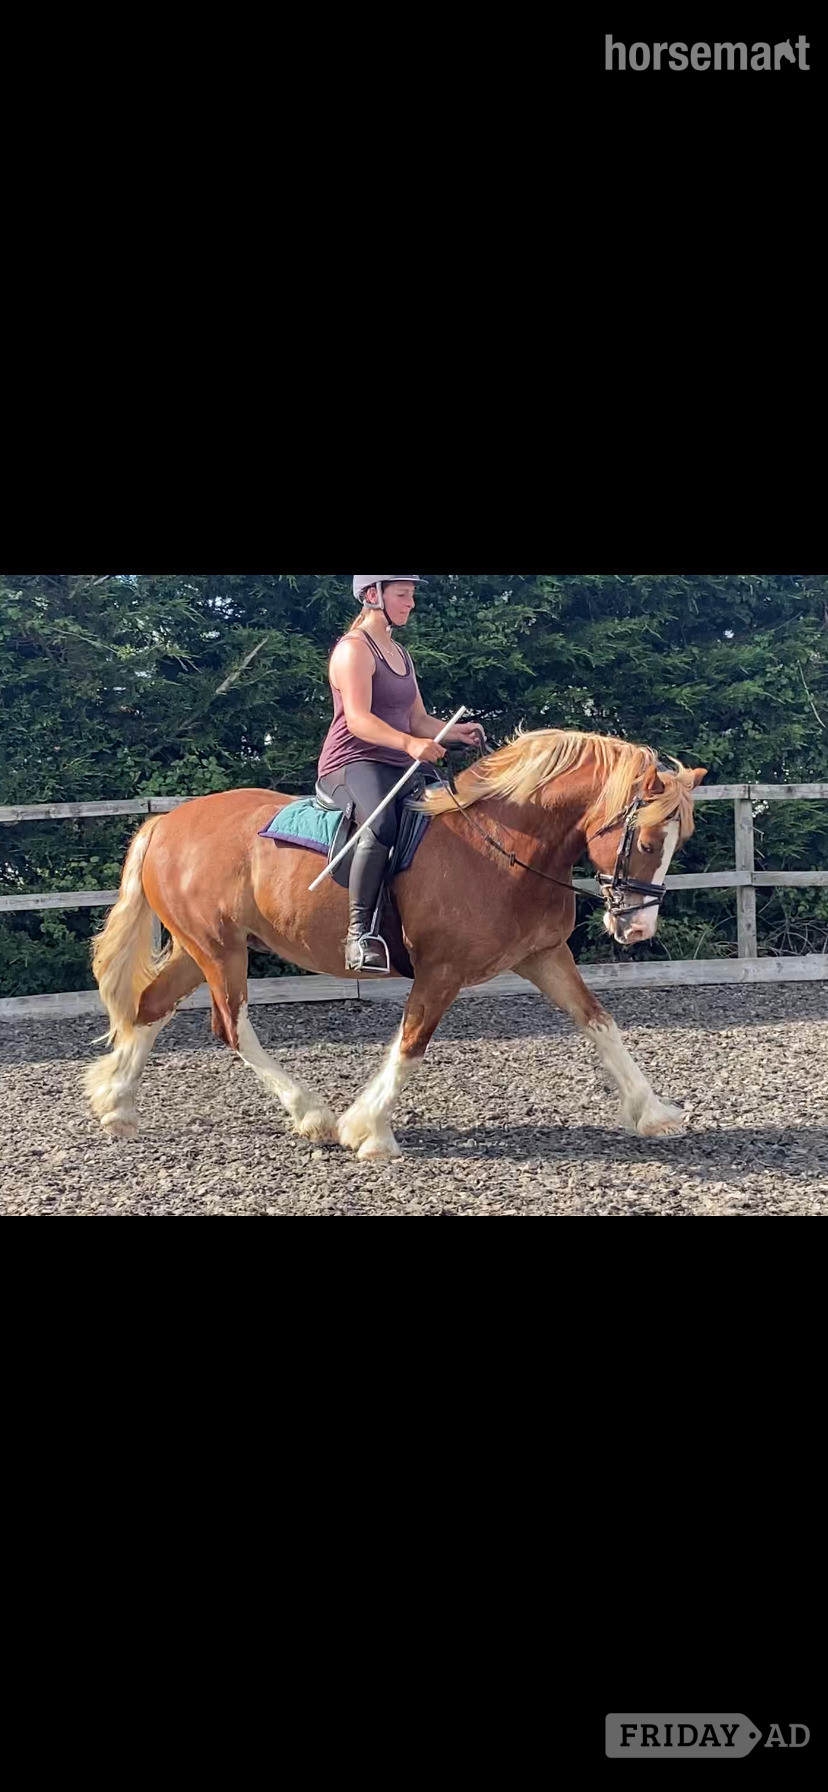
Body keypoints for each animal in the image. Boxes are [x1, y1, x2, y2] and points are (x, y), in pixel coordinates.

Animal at [84, 729, 707, 1160]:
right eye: (646, 841)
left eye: (680, 842)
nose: (637, 930)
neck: (506, 844)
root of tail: (164, 825)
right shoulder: (442, 970)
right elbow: (411, 1045)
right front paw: (369, 1131)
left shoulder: (544, 956)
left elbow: (600, 1023)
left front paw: (654, 1112)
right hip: (219, 950)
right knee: (231, 1027)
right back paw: (311, 1114)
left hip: (202, 948)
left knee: (150, 1008)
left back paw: (118, 1108)